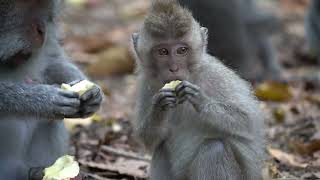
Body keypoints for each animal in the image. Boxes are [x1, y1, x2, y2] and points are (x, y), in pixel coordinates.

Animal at [0, 0, 102, 179]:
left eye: (42, 5)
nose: (42, 30)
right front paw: (43, 99)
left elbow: (51, 60)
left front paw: (92, 94)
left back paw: (38, 172)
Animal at [131, 0, 266, 179]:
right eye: (163, 52)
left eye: (181, 50)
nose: (173, 68)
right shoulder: (146, 82)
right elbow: (148, 139)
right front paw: (159, 107)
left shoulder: (215, 75)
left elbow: (248, 121)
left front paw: (200, 100)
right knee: (161, 148)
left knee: (214, 149)